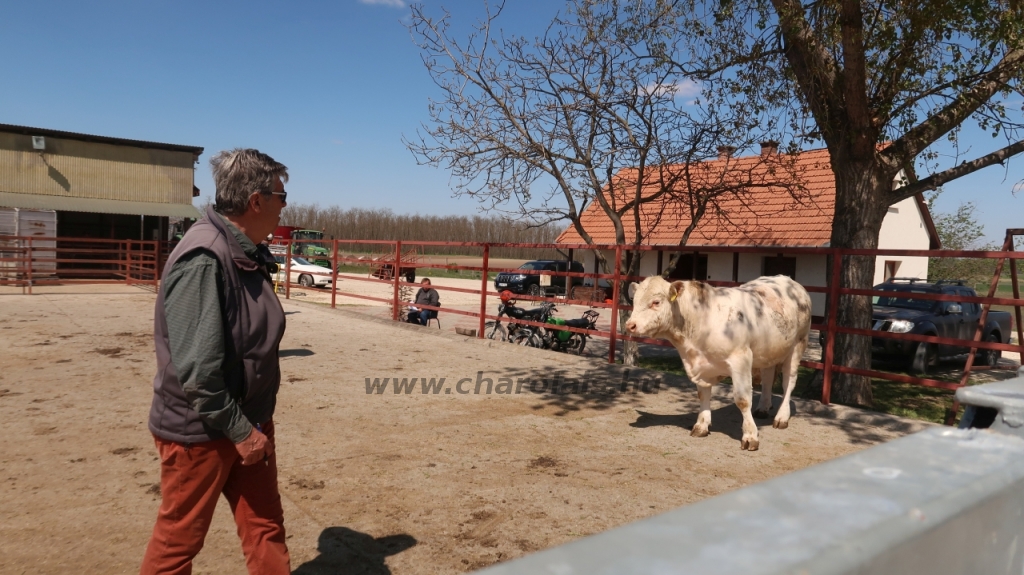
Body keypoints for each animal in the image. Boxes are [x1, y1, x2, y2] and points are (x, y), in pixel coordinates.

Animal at [622, 276, 806, 450]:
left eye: (656, 302)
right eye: (634, 301)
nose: (630, 325)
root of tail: (788, 280)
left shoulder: (741, 359)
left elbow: (743, 400)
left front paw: (750, 436)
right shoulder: (701, 365)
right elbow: (703, 394)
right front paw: (701, 425)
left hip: (797, 346)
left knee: (788, 383)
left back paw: (782, 417)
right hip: (769, 351)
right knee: (768, 378)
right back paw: (763, 408)